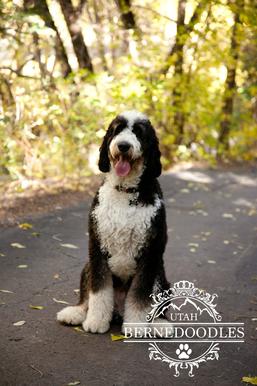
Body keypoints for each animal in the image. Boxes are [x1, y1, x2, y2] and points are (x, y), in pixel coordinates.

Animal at [56, 110, 169, 334]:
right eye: (117, 130)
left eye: (139, 133)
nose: (123, 145)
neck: (124, 191)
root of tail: (118, 311)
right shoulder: (97, 247)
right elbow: (99, 292)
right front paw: (96, 321)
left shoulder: (150, 252)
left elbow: (140, 294)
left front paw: (136, 326)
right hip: (88, 266)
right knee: (86, 298)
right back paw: (76, 313)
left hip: (160, 274)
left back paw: (159, 324)